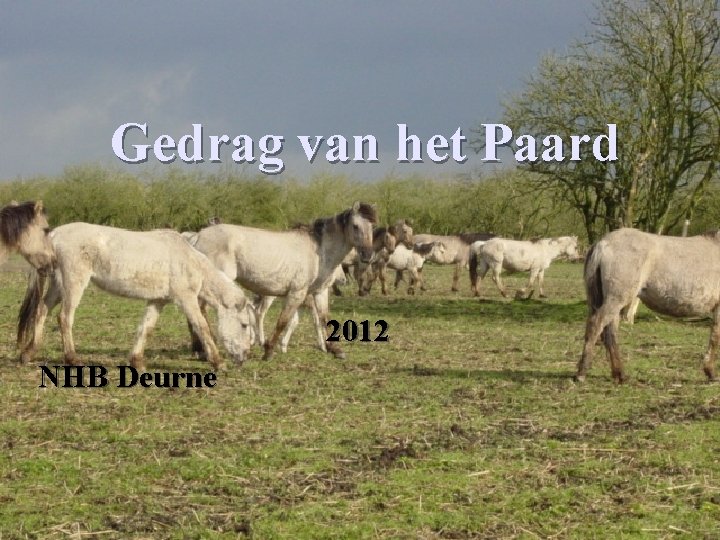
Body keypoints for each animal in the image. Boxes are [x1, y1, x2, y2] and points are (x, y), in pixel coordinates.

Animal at [17, 223, 255, 371]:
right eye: (244, 325)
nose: (244, 357)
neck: (189, 260)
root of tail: (54, 235)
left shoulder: (158, 301)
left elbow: (146, 328)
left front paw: (137, 361)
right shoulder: (186, 299)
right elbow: (202, 326)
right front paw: (218, 362)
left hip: (58, 285)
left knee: (41, 310)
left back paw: (28, 353)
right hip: (73, 282)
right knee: (64, 318)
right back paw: (72, 359)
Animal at [190, 202, 377, 360]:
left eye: (372, 227)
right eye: (355, 226)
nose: (368, 255)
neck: (319, 251)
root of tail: (197, 237)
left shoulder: (320, 292)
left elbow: (323, 318)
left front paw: (335, 349)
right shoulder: (297, 293)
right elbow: (283, 321)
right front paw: (268, 351)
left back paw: (200, 350)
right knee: (200, 311)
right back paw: (205, 350)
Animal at [577, 228, 720, 383]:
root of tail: (603, 243)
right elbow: (715, 337)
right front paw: (711, 372)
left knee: (610, 334)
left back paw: (619, 374)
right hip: (616, 300)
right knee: (596, 326)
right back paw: (581, 373)